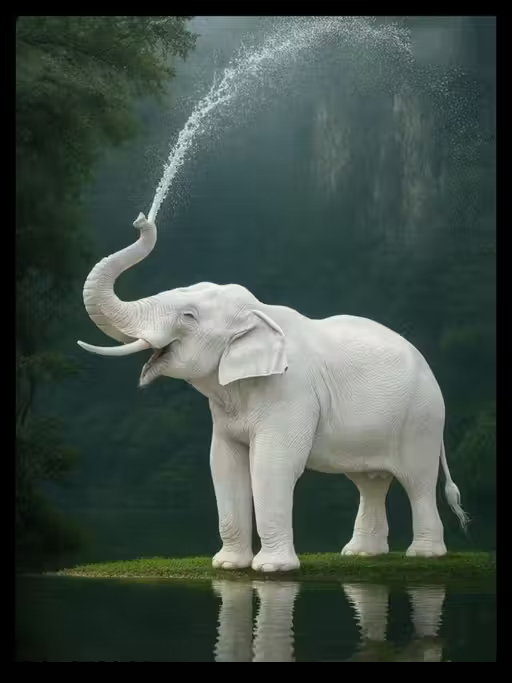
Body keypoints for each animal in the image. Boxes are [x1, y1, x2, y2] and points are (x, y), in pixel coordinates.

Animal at [78, 212, 469, 572]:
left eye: (188, 316)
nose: (140, 220)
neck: (259, 311)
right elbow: (223, 463)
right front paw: (227, 566)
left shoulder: (290, 391)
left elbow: (271, 463)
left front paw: (271, 570)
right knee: (369, 482)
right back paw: (360, 554)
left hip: (422, 419)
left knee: (417, 480)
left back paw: (424, 555)